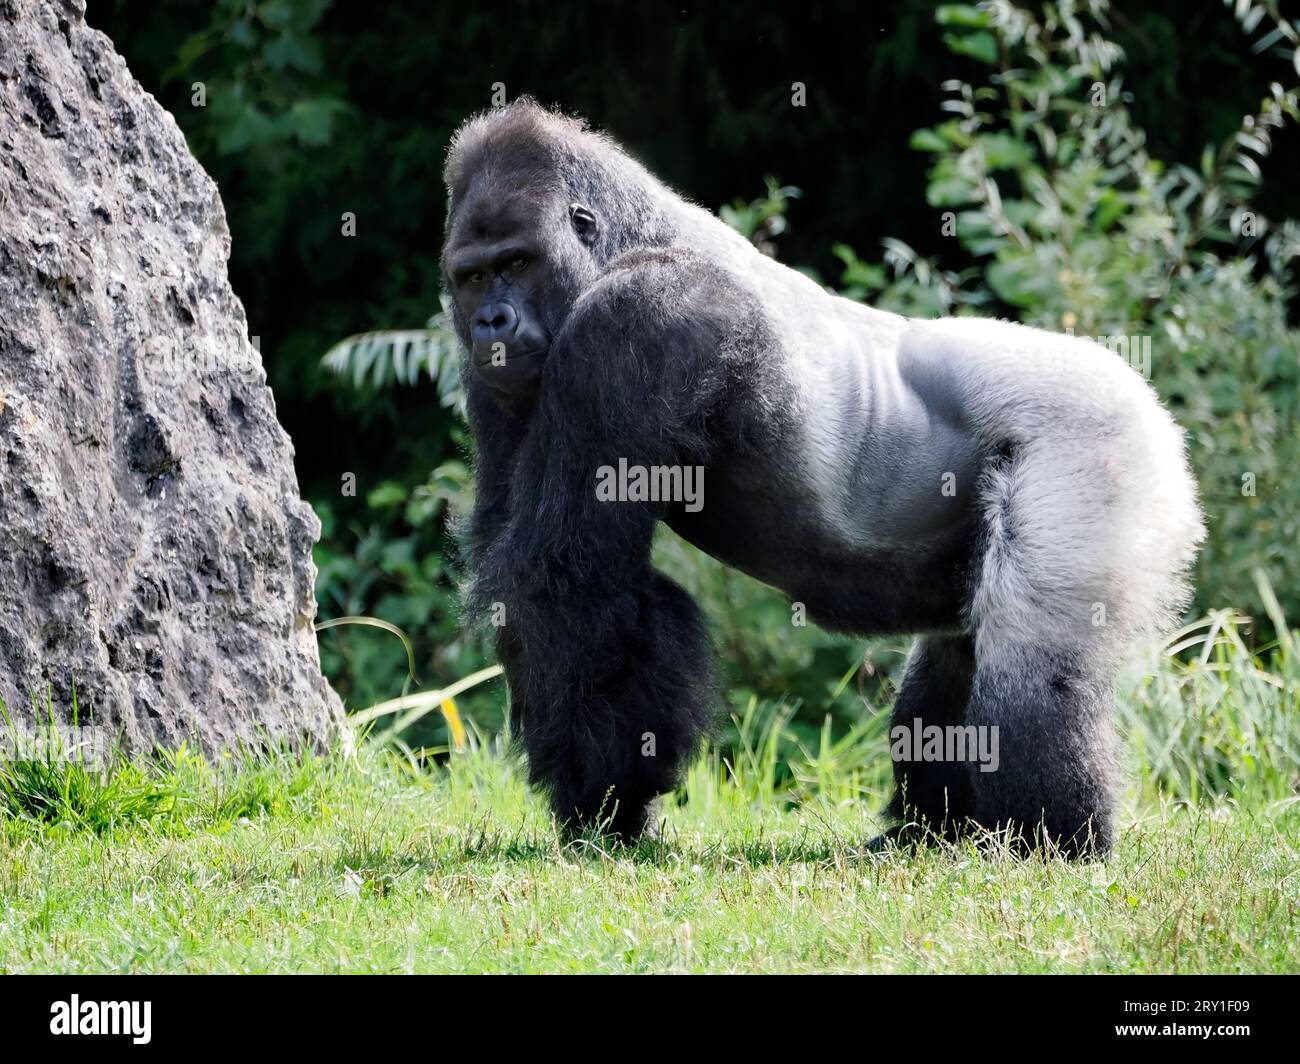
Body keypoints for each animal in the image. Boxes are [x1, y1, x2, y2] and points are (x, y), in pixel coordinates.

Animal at [436, 99, 1196, 853]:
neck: (625, 240)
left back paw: (1050, 836)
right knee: (960, 648)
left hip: (1100, 439)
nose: (491, 320)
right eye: (472, 277)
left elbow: (567, 580)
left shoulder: (638, 316)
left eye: (517, 262)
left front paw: (606, 807)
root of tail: (1148, 398)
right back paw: (931, 831)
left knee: (1032, 653)